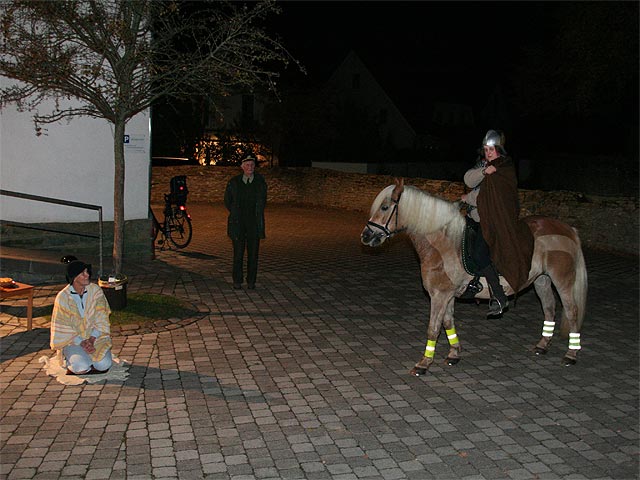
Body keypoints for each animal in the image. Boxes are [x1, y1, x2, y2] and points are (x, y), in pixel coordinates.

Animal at [358, 178, 588, 376]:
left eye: (385, 207)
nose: (366, 236)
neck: (444, 244)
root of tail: (568, 229)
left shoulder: (439, 295)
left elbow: (433, 329)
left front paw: (423, 364)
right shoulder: (447, 295)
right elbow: (448, 323)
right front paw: (454, 354)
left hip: (562, 280)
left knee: (572, 311)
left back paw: (571, 354)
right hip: (542, 280)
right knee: (549, 308)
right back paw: (542, 345)